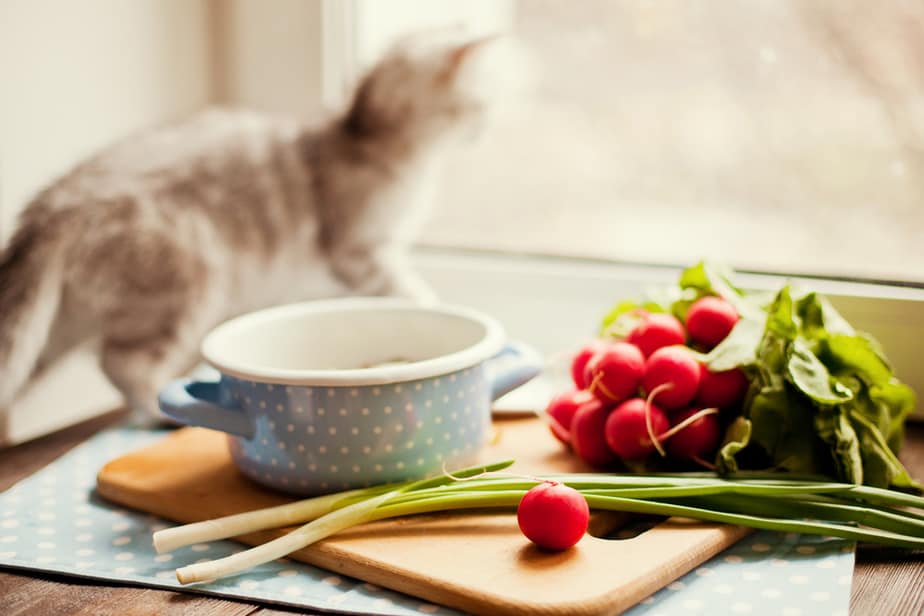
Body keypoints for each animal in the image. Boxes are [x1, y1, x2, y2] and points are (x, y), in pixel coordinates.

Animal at [0, 35, 498, 438]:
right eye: (480, 106)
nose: (483, 128)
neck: (362, 136)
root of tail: (52, 204)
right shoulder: (361, 251)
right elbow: (411, 291)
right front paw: (429, 301)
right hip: (184, 289)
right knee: (123, 364)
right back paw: (158, 412)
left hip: (52, 334)